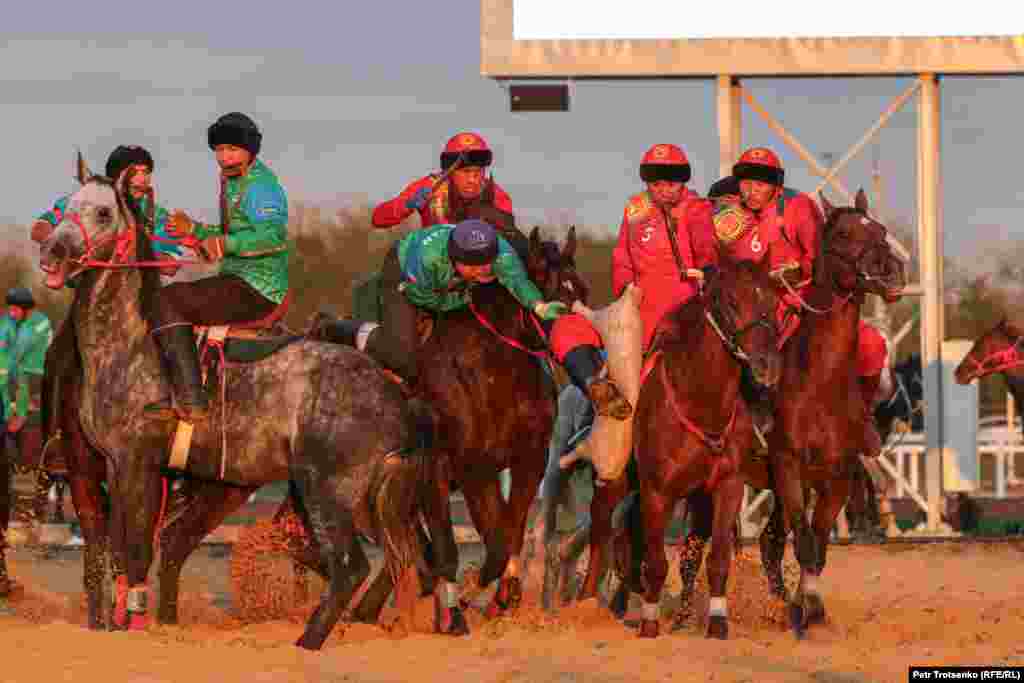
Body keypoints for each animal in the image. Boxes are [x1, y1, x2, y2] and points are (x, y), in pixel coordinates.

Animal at [39, 154, 448, 651]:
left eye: (102, 212)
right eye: (64, 206)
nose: (52, 253)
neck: (130, 343)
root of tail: (398, 394)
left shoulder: (138, 464)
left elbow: (134, 550)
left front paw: (131, 622)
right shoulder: (114, 466)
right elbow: (120, 550)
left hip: (327, 491)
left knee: (352, 566)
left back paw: (308, 642)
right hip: (372, 498)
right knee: (411, 557)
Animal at [753, 188, 905, 634]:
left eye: (882, 230)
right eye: (841, 234)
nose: (891, 271)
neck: (819, 385)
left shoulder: (837, 475)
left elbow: (818, 544)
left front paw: (810, 603)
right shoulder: (787, 467)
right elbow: (804, 542)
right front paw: (807, 607)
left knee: (770, 542)